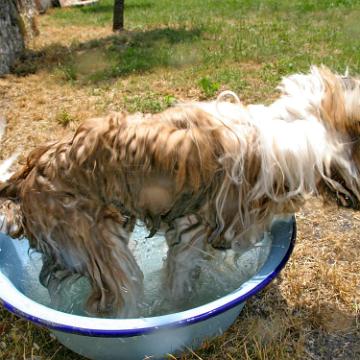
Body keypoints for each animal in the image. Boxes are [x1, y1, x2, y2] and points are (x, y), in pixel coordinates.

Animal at [0, 66, 360, 316]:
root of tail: (23, 177)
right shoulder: (196, 230)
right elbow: (180, 279)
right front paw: (173, 309)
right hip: (95, 247)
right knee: (123, 289)